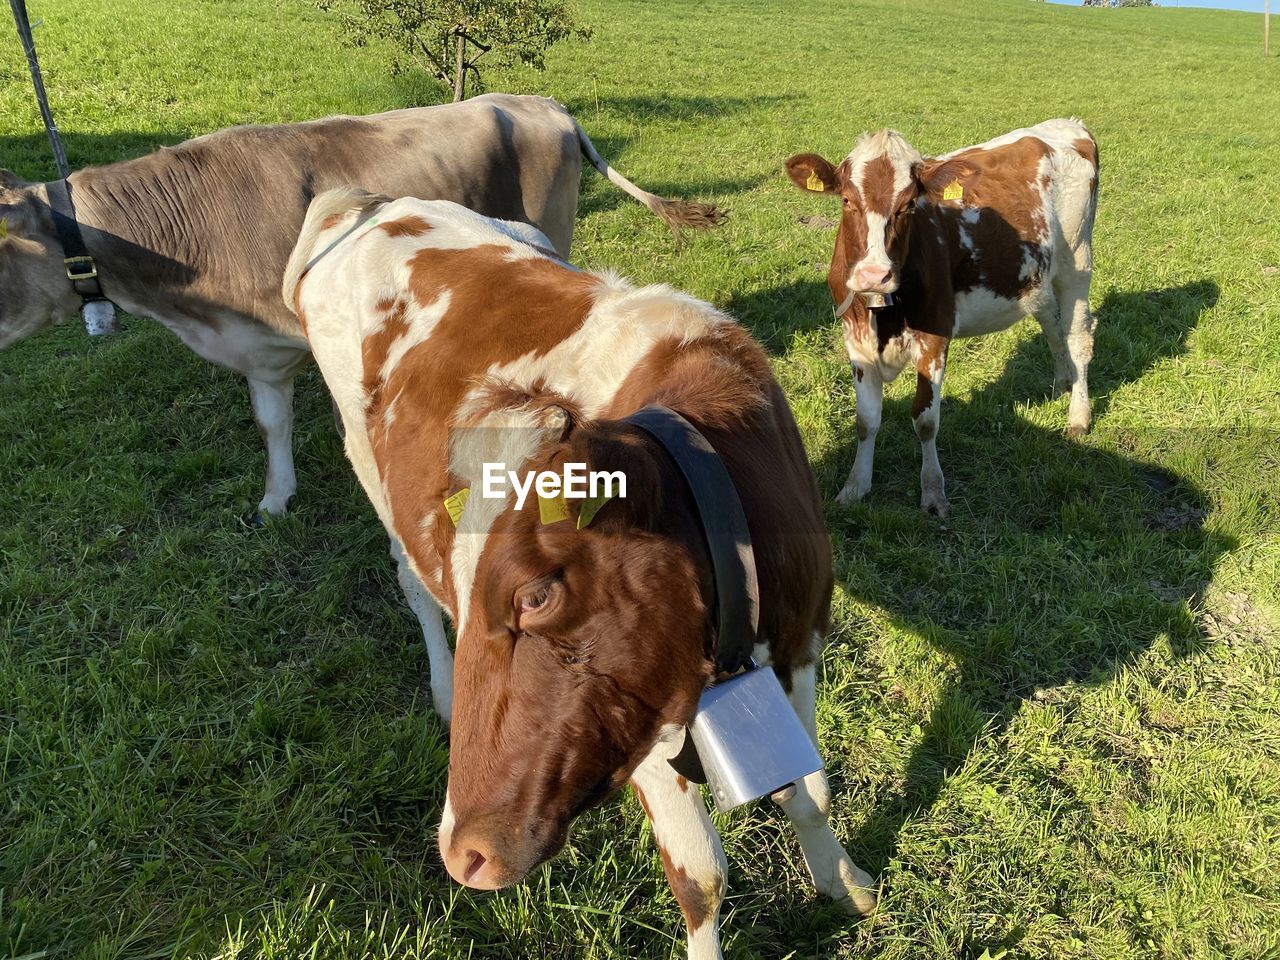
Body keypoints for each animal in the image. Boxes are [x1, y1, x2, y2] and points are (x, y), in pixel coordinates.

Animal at [284, 192, 875, 957]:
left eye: (536, 595)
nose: (463, 854)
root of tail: (372, 202)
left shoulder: (803, 640)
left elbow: (811, 794)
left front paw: (842, 877)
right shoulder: (644, 721)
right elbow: (701, 876)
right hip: (368, 471)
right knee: (410, 582)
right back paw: (443, 692)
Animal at [783, 119, 1095, 514]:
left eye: (908, 206)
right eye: (847, 200)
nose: (873, 275)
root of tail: (1069, 124)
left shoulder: (935, 333)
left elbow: (925, 420)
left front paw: (933, 491)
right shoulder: (854, 338)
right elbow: (866, 421)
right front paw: (855, 487)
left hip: (1077, 261)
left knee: (1077, 338)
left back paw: (1079, 415)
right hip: (1036, 278)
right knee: (1054, 327)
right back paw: (1061, 385)